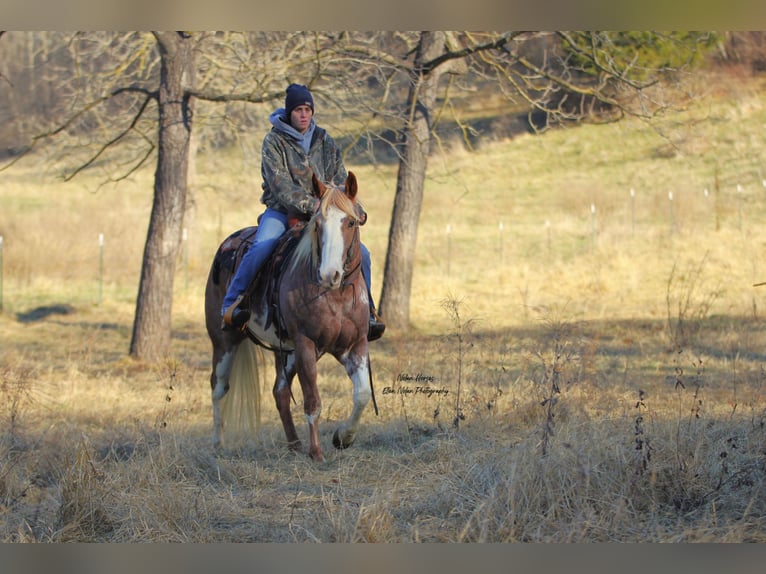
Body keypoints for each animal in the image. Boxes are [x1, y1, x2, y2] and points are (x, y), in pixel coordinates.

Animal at [202, 171, 374, 464]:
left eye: (351, 221)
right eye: (318, 224)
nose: (329, 275)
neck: (335, 296)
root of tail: (226, 245)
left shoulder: (355, 345)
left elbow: (362, 395)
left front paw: (343, 438)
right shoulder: (305, 345)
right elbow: (312, 401)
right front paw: (317, 453)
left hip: (285, 352)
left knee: (280, 392)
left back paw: (294, 444)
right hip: (224, 342)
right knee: (219, 386)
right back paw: (217, 443)